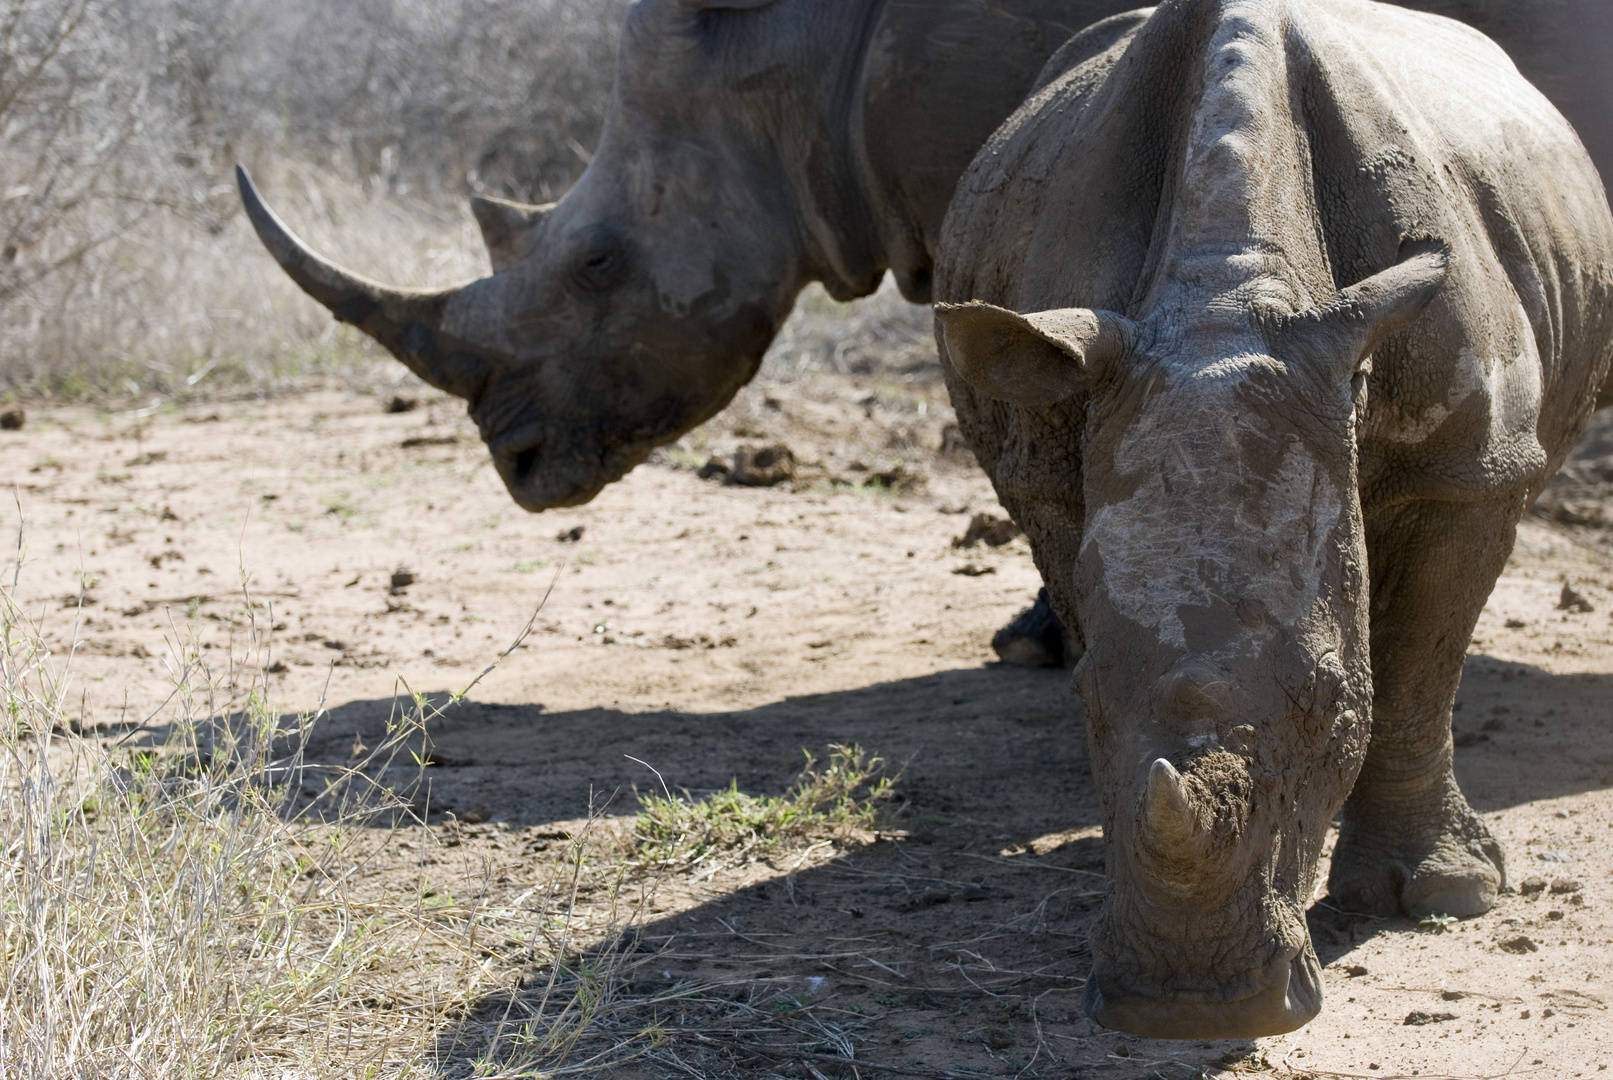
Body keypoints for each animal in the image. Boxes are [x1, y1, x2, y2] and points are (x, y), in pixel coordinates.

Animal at [935, 0, 1613, 1050]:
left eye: (1331, 705)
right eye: (1084, 704)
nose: (1187, 1007)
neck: (1227, 296)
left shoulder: (1470, 472)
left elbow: (1417, 674)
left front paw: (1439, 898)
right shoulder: (1056, 469)